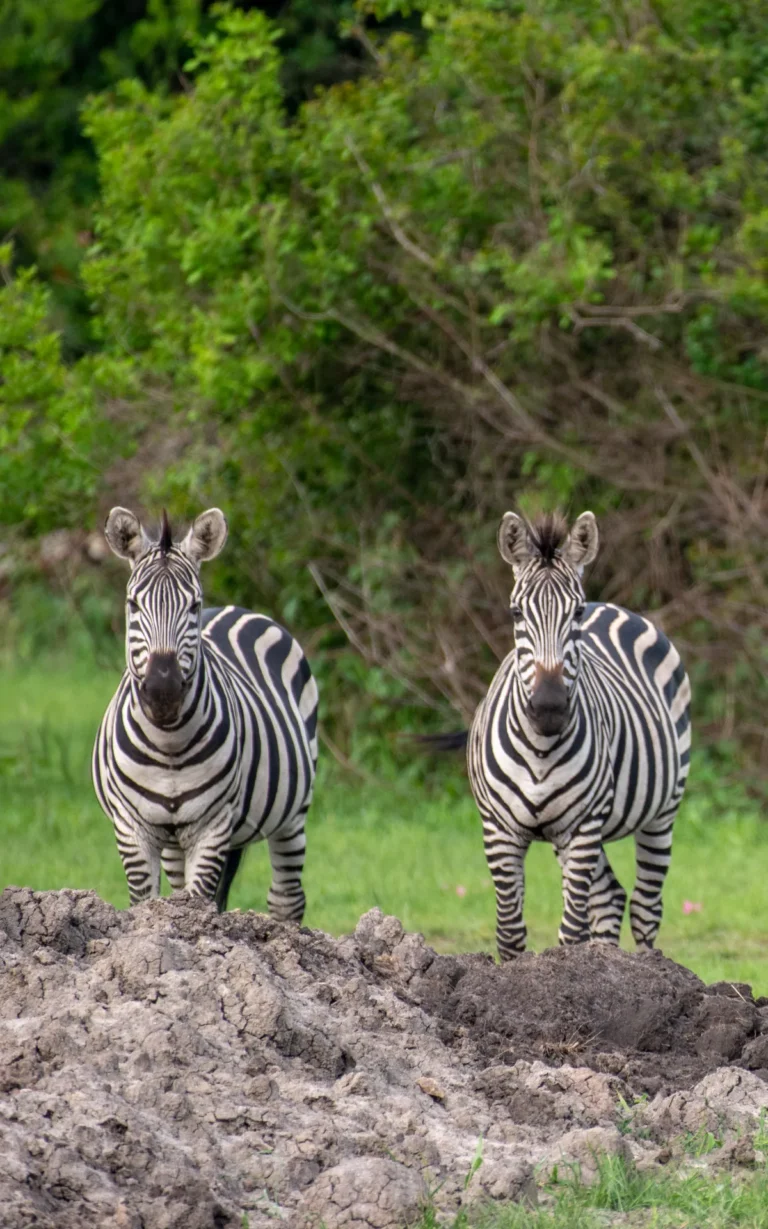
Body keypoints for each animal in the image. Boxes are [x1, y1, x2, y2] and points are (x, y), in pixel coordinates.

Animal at [92, 506, 318, 916]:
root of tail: (232, 607)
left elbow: (197, 903)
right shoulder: (132, 827)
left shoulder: (212, 826)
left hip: (293, 813)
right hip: (174, 841)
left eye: (193, 606)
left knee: (286, 898)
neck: (168, 744)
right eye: (133, 605)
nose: (163, 692)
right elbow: (150, 902)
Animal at [438, 511, 690, 961]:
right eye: (516, 613)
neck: (541, 750)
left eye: (576, 613)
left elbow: (571, 932)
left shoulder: (583, 827)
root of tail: (612, 607)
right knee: (610, 898)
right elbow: (509, 933)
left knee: (646, 907)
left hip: (663, 810)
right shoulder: (498, 830)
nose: (549, 708)